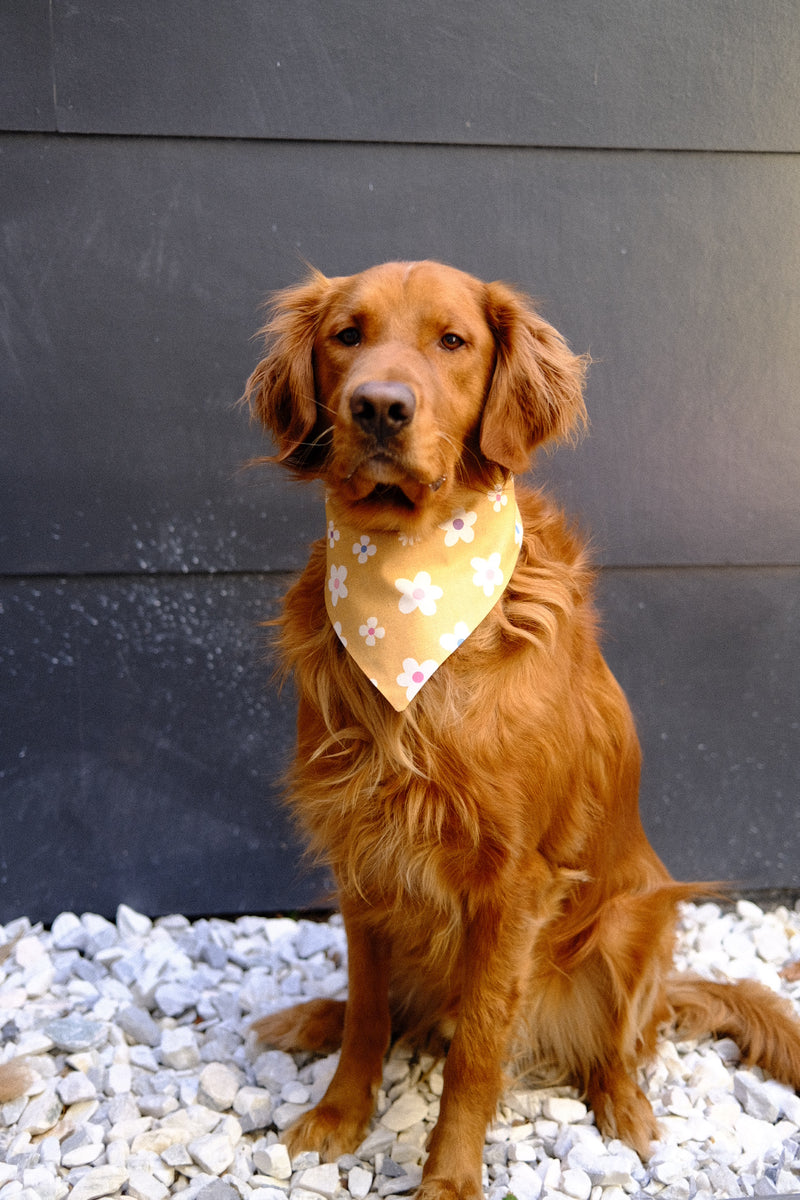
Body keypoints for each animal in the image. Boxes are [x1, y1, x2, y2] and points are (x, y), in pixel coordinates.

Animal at [244, 262, 800, 1200]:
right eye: (347, 336)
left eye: (452, 341)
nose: (379, 407)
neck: (411, 588)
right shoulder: (362, 850)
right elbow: (368, 1010)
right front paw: (337, 1117)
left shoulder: (512, 882)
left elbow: (476, 1049)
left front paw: (448, 1179)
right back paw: (308, 1016)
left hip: (635, 922)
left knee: (621, 1046)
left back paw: (627, 1114)